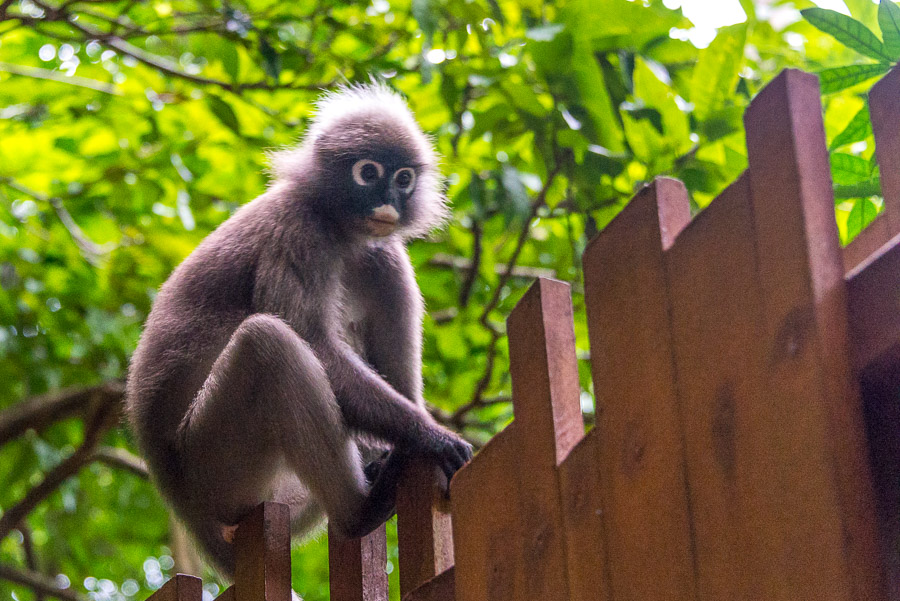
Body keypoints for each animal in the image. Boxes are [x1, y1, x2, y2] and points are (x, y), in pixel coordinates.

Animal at [125, 82, 472, 576]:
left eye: (404, 178)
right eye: (368, 172)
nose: (389, 199)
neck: (337, 227)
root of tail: (183, 506)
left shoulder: (379, 253)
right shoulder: (297, 233)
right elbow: (314, 345)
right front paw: (432, 436)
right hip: (216, 472)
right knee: (268, 344)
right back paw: (359, 511)